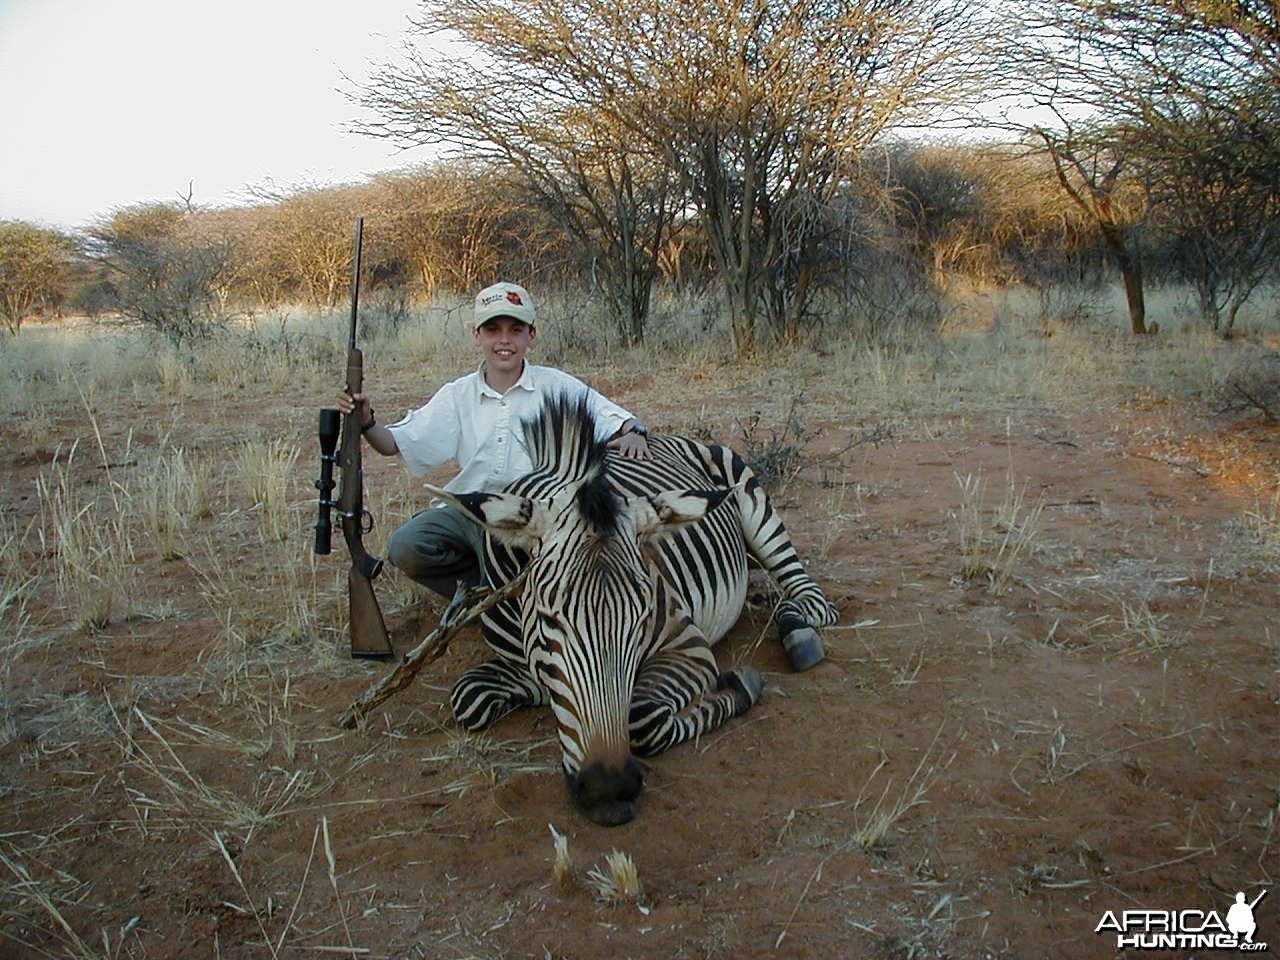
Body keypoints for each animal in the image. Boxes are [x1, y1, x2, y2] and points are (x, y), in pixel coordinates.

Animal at [422, 391, 839, 829]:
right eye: (548, 620)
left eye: (641, 619)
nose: (609, 792)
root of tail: (663, 435)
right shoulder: (516, 660)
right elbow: (470, 698)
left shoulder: (687, 644)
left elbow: (641, 717)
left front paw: (739, 687)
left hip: (755, 508)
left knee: (808, 596)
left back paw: (798, 631)